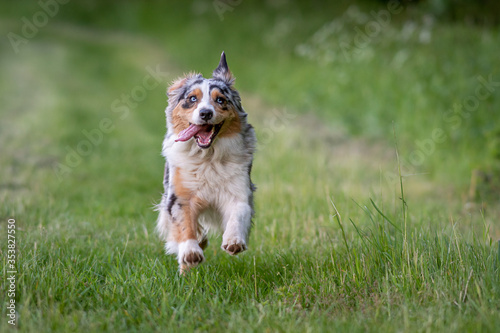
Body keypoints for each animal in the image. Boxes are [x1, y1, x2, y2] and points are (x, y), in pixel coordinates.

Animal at [155, 50, 258, 272]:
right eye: (192, 98)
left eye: (220, 100)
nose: (205, 113)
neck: (207, 157)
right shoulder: (179, 195)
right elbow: (185, 223)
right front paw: (190, 252)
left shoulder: (239, 189)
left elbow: (238, 212)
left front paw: (234, 241)